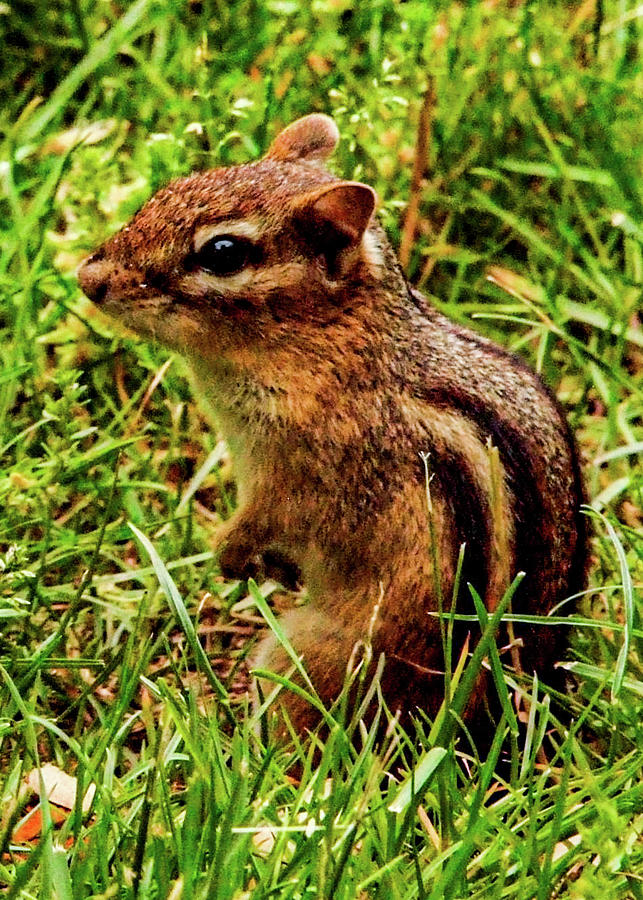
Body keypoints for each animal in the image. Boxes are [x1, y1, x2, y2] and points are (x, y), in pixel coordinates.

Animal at [79, 114, 587, 738]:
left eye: (222, 252)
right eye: (173, 187)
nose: (88, 278)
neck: (329, 340)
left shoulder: (304, 474)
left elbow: (268, 518)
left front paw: (229, 556)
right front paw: (270, 570)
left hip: (306, 657)